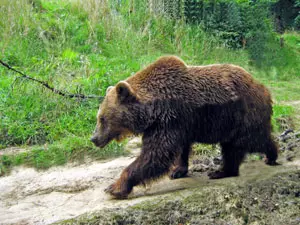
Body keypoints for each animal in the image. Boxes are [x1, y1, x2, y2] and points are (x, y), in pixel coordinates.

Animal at [90, 55, 278, 199]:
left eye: (102, 118)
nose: (94, 138)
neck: (152, 110)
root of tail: (263, 88)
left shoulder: (169, 119)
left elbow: (155, 154)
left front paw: (114, 187)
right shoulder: (178, 122)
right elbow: (178, 148)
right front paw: (177, 171)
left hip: (242, 114)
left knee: (250, 141)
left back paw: (265, 157)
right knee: (232, 146)